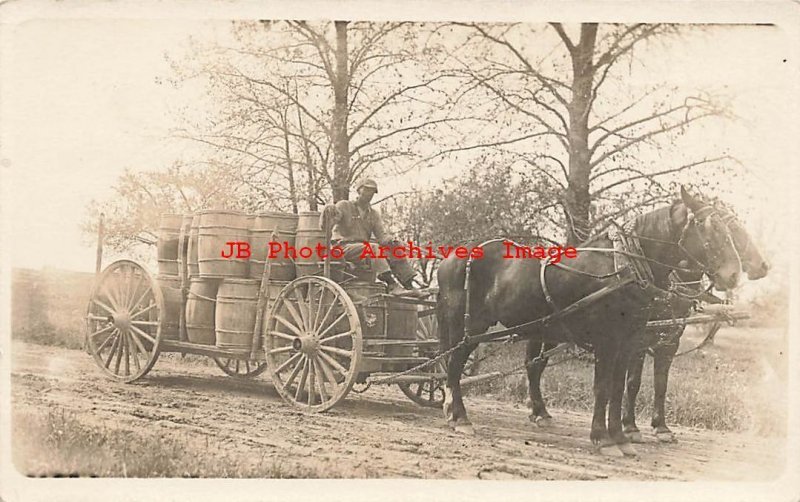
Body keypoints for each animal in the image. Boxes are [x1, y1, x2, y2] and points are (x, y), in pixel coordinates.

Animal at [434, 187, 740, 454]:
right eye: (705, 226)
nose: (734, 274)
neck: (624, 267)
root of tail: (452, 255)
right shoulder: (608, 341)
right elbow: (603, 388)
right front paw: (602, 439)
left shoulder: (629, 342)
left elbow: (618, 388)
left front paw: (620, 437)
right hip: (467, 327)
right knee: (455, 365)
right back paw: (460, 417)